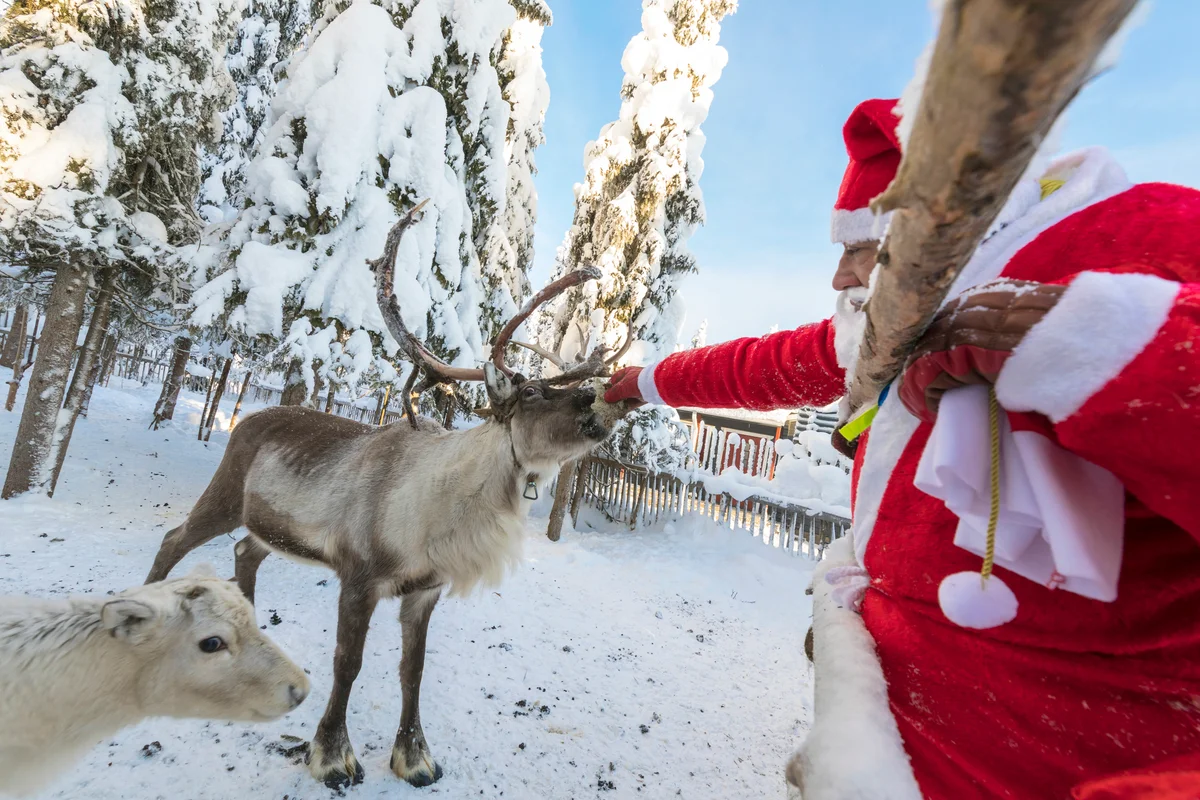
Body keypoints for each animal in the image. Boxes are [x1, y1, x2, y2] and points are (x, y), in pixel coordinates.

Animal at [143, 201, 630, 790]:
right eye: (533, 392)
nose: (602, 396)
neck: (440, 512)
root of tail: (245, 418)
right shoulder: (359, 576)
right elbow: (347, 663)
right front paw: (332, 755)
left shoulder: (424, 591)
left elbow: (412, 671)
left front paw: (415, 757)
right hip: (225, 493)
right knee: (175, 538)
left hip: (270, 525)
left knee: (244, 551)